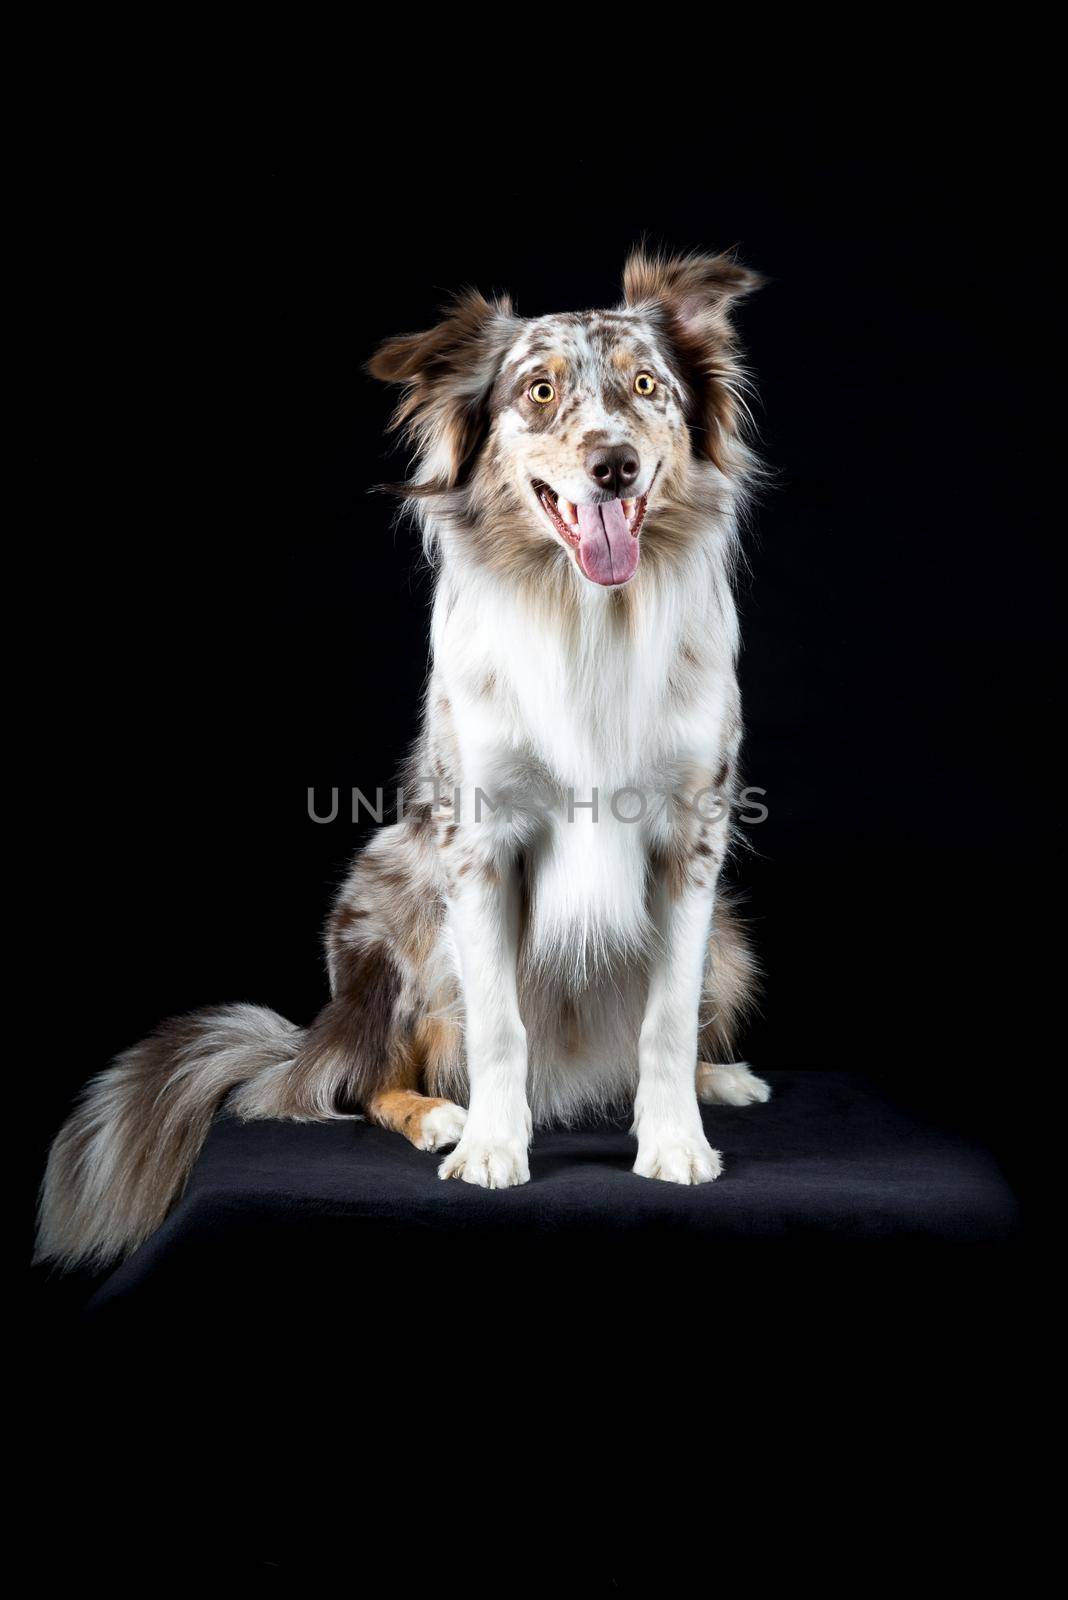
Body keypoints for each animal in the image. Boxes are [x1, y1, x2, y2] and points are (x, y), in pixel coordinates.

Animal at [35, 252, 767, 1273]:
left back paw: (717, 1078)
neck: (587, 618)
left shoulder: (690, 842)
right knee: (359, 1081)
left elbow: (665, 1015)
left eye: (647, 387)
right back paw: (436, 1117)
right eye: (540, 391)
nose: (613, 464)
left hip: (732, 938)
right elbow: (499, 1022)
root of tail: (320, 1034)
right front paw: (493, 1147)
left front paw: (675, 1143)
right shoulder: (477, 843)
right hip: (396, 910)